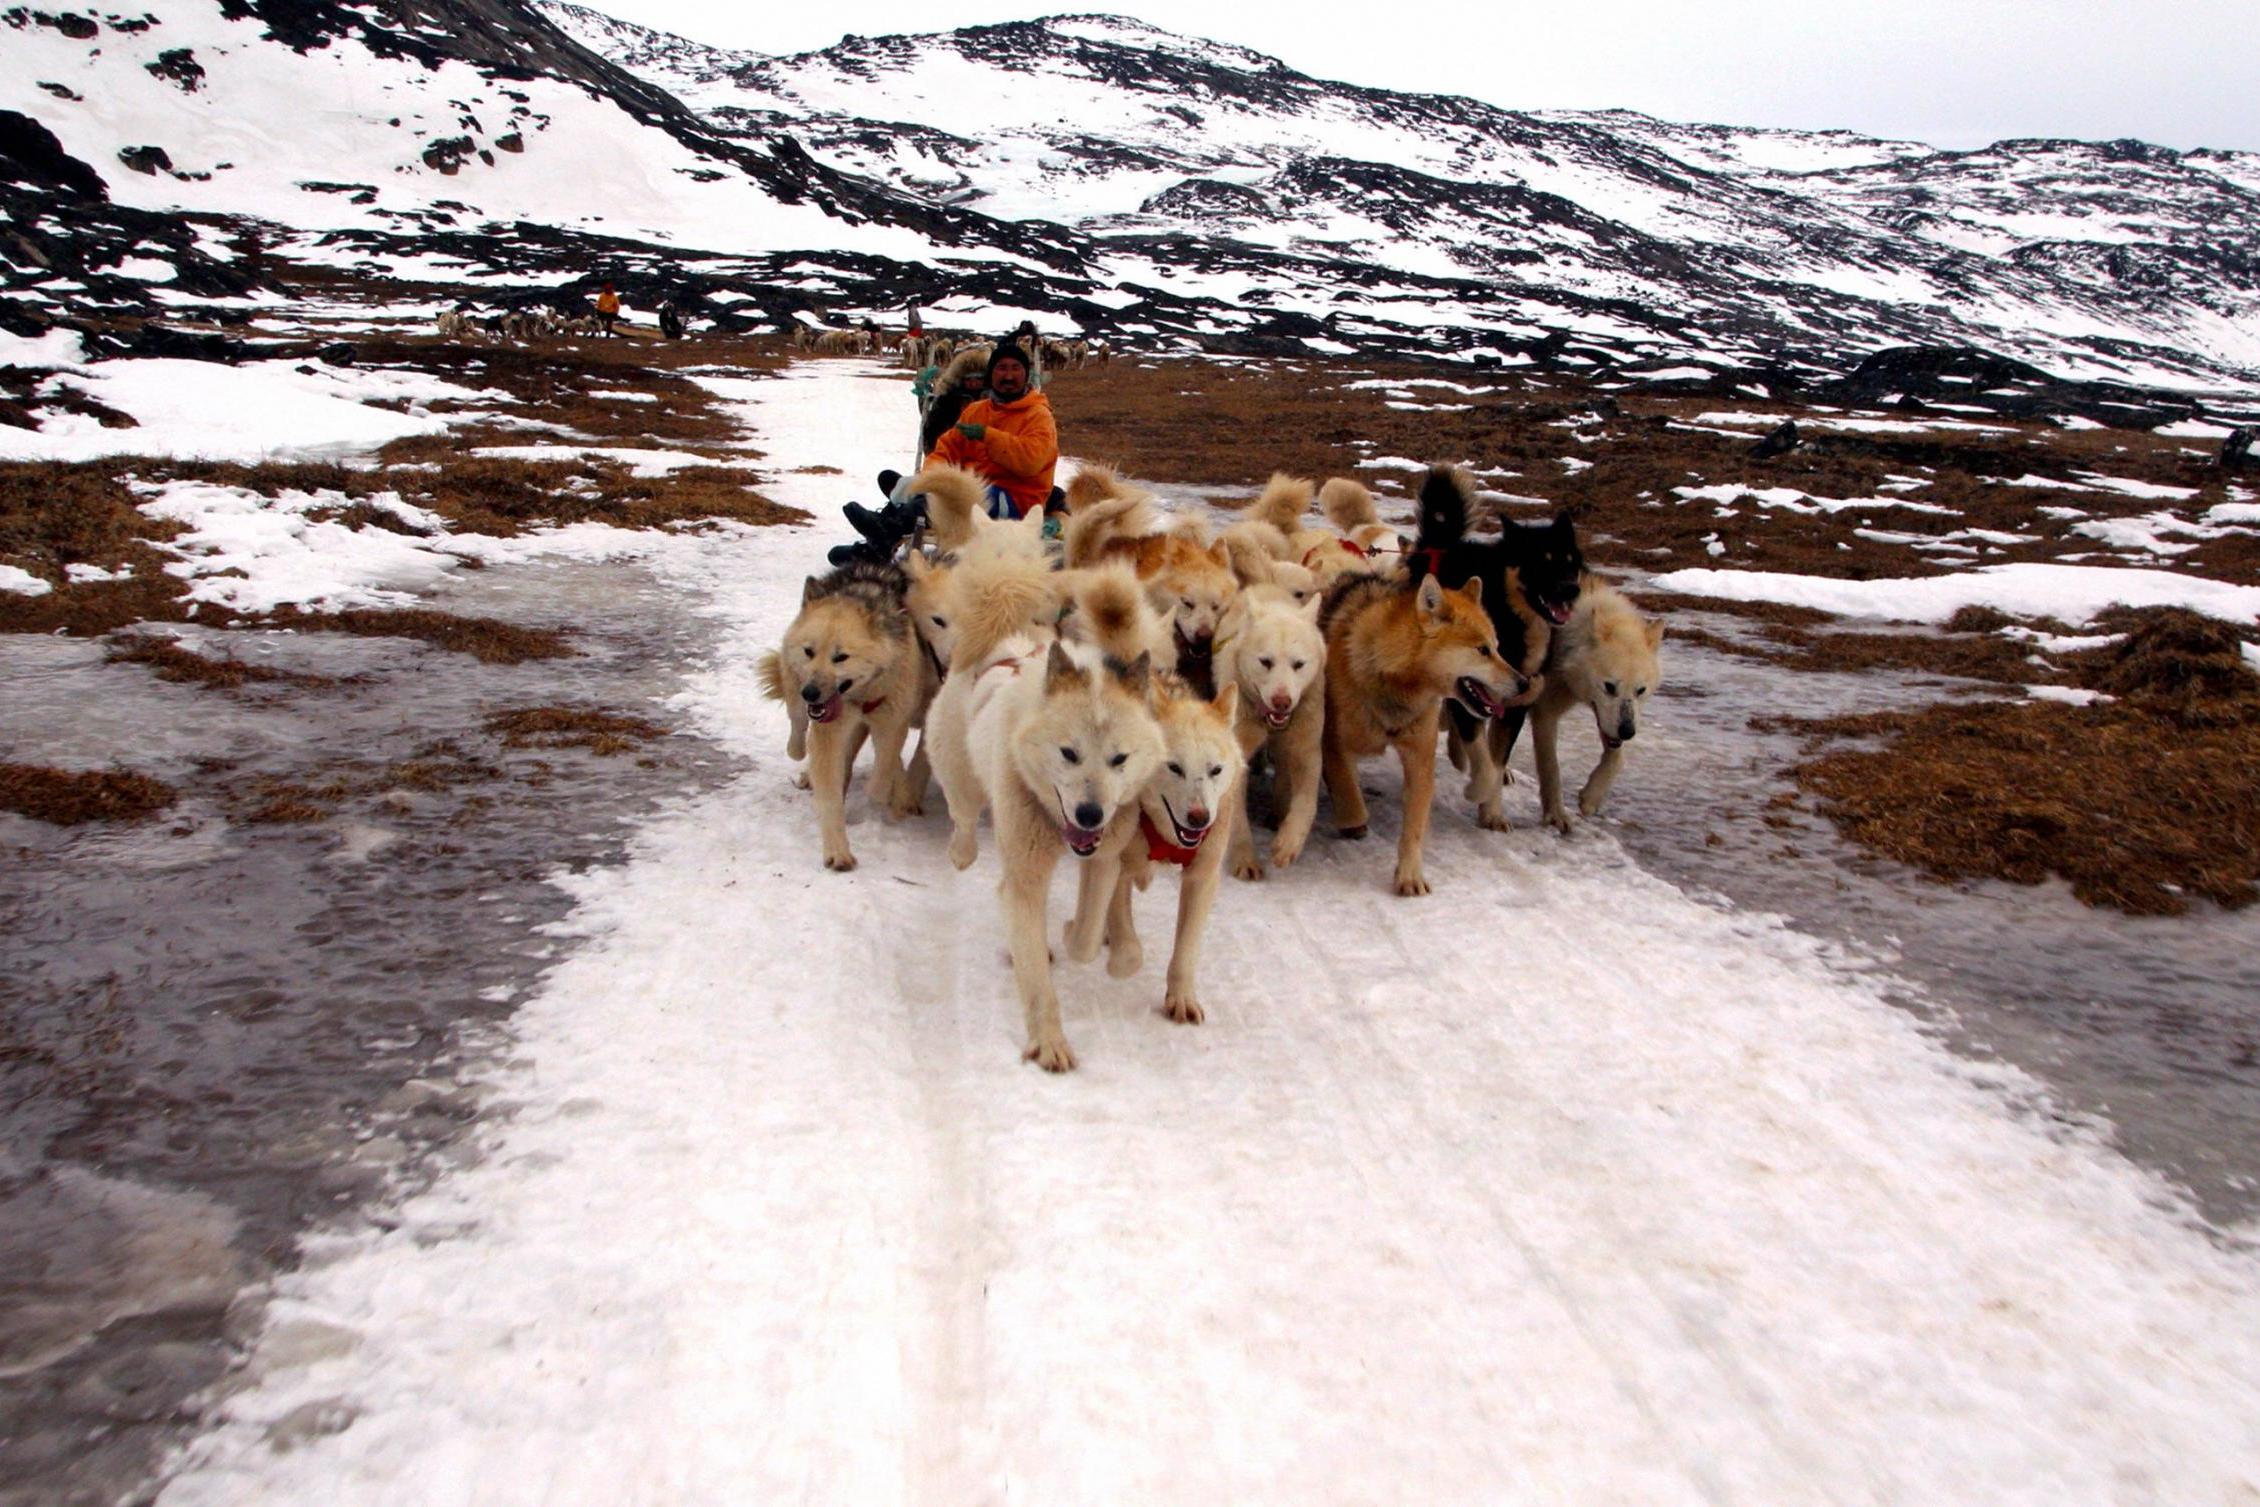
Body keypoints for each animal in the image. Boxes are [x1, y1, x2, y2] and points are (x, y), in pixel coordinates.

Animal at [759, 560, 935, 872]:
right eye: (809, 651)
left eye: (840, 657)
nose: (811, 693)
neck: (860, 695)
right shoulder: (829, 731)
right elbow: (830, 793)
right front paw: (837, 851)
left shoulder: (891, 723)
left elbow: (884, 770)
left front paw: (888, 791)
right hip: (794, 691)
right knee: (797, 730)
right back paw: (802, 758)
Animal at [1292, 564, 1518, 894]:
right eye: (1482, 650)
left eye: (1498, 648)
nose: (1524, 683)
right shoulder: (1333, 743)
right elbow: (1350, 797)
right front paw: (1352, 821)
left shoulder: (1419, 760)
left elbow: (1414, 828)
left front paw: (1409, 876)